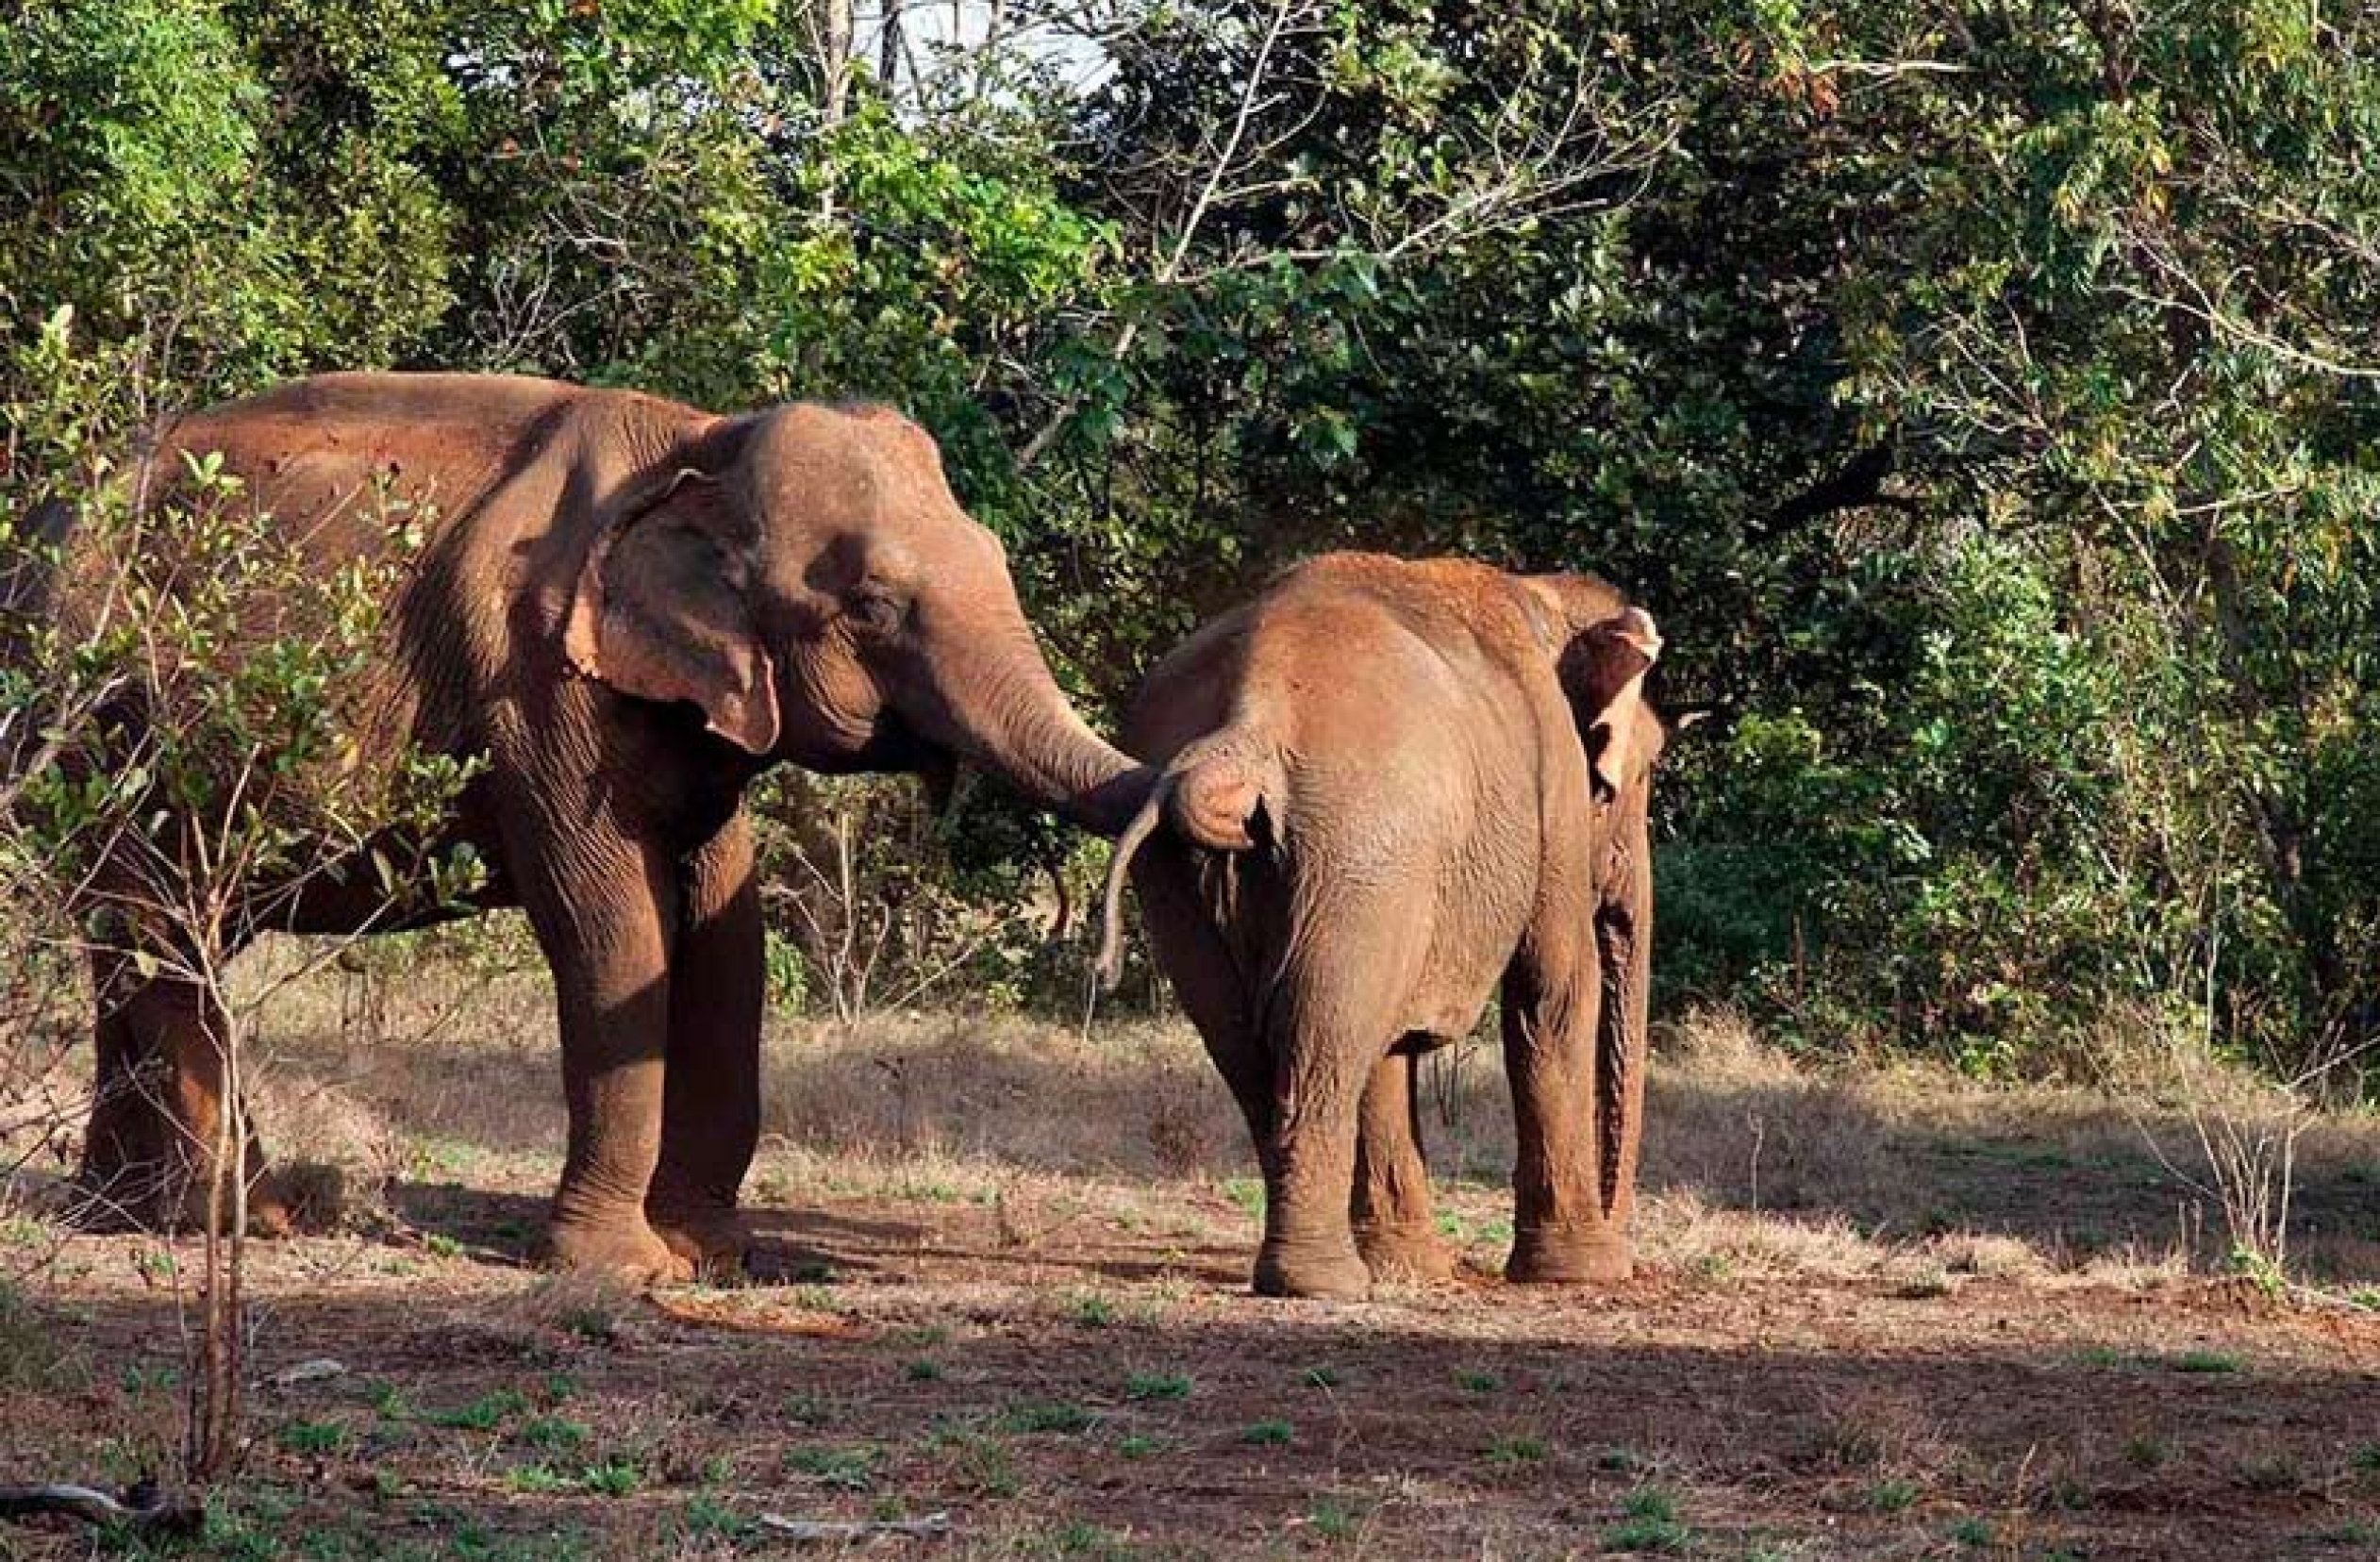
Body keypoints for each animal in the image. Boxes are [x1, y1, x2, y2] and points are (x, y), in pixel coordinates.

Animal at [1090, 555, 1656, 1295]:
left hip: (1196, 880)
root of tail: (1248, 723)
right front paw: (1583, 1272)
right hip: (1363, 841)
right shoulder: (1553, 785)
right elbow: (1554, 990)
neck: (1542, 594)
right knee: (1327, 1029)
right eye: (1643, 775)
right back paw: (1322, 1280)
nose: (1626, 1248)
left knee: (1253, 1037)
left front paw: (1408, 1265)